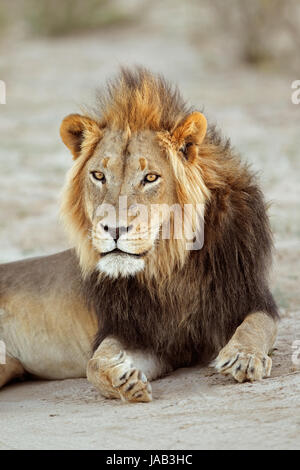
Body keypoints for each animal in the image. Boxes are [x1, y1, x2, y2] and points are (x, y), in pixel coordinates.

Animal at [0, 68, 278, 402]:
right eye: (98, 175)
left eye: (150, 178)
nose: (114, 229)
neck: (170, 266)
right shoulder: (137, 333)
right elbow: (95, 362)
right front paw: (122, 378)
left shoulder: (251, 298)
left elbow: (256, 325)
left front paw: (243, 357)